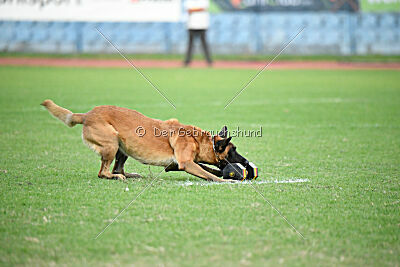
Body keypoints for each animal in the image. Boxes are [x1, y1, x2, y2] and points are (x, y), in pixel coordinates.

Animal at [39, 99, 247, 183]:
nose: (246, 162)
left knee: (118, 168)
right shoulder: (186, 163)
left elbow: (209, 169)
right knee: (103, 172)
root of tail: (87, 115)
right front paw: (227, 180)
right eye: (233, 150)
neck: (200, 140)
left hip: (122, 148)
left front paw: (221, 174)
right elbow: (209, 174)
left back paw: (130, 175)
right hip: (112, 142)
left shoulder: (176, 164)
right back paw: (115, 177)